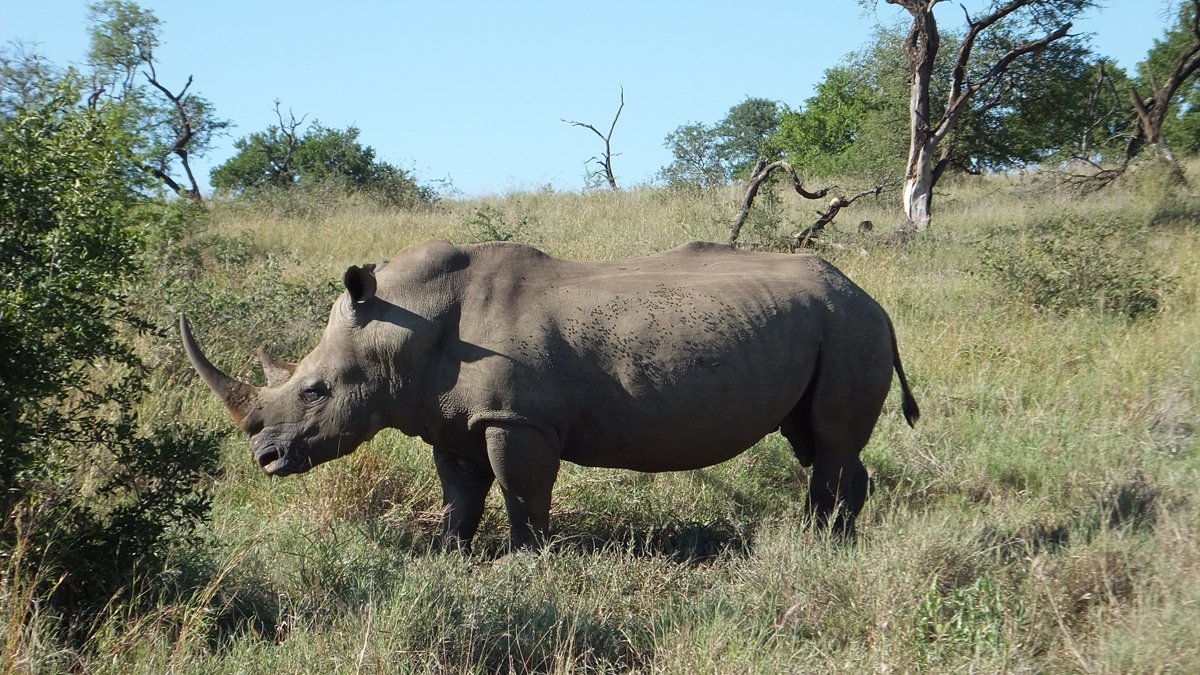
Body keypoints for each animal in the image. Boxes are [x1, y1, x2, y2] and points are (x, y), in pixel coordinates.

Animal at [182, 240, 918, 548]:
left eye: (315, 390)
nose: (265, 460)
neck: (403, 325)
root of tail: (871, 297)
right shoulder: (451, 419)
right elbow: (460, 496)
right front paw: (450, 557)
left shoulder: (518, 417)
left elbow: (522, 493)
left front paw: (525, 561)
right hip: (827, 325)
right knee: (817, 440)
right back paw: (836, 539)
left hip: (849, 327)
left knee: (828, 442)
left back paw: (819, 545)